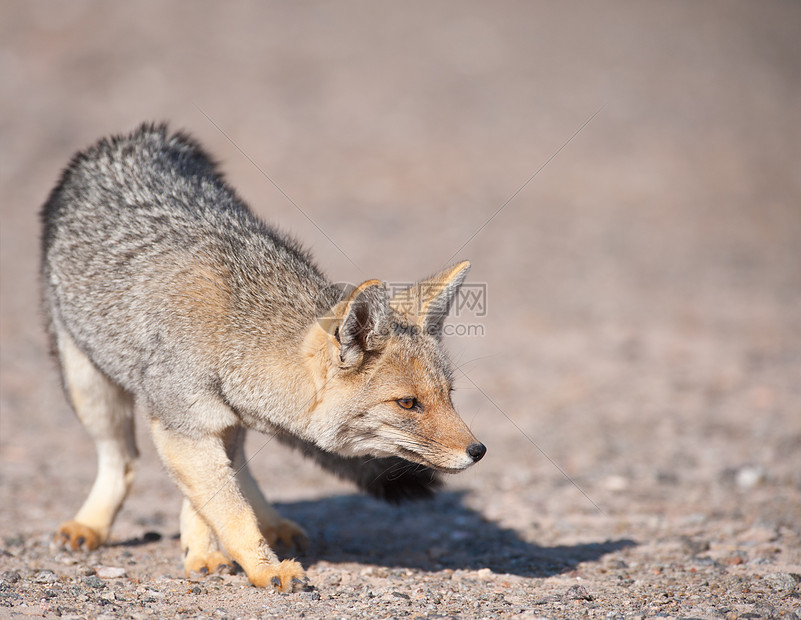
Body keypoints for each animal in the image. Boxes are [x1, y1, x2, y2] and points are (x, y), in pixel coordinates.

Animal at [40, 123, 484, 592]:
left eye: (449, 395)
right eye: (408, 403)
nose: (478, 450)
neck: (233, 333)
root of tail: (139, 135)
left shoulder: (218, 423)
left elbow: (210, 503)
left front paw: (203, 552)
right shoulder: (183, 428)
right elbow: (227, 510)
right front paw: (262, 567)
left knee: (235, 472)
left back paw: (269, 522)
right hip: (89, 388)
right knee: (122, 460)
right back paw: (92, 523)